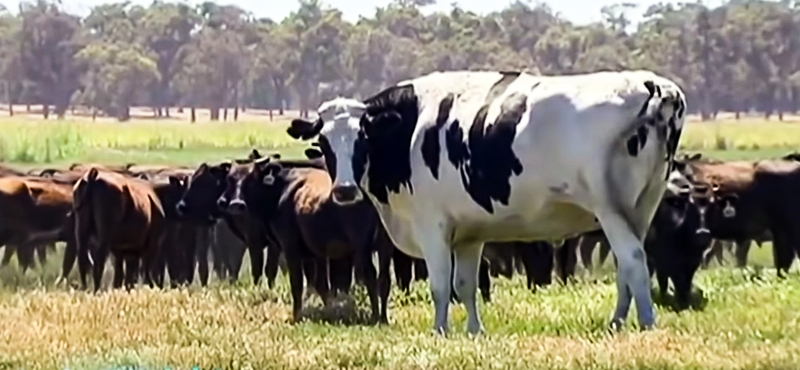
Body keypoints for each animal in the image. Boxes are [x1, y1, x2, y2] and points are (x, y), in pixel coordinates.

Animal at [288, 71, 688, 334]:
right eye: (323, 142)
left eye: (362, 138)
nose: (344, 190)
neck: (410, 128)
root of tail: (652, 84)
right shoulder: (469, 233)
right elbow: (465, 284)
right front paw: (474, 333)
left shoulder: (432, 225)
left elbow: (440, 285)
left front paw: (440, 333)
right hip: (641, 206)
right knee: (627, 266)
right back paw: (618, 322)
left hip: (609, 208)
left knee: (634, 260)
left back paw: (647, 324)